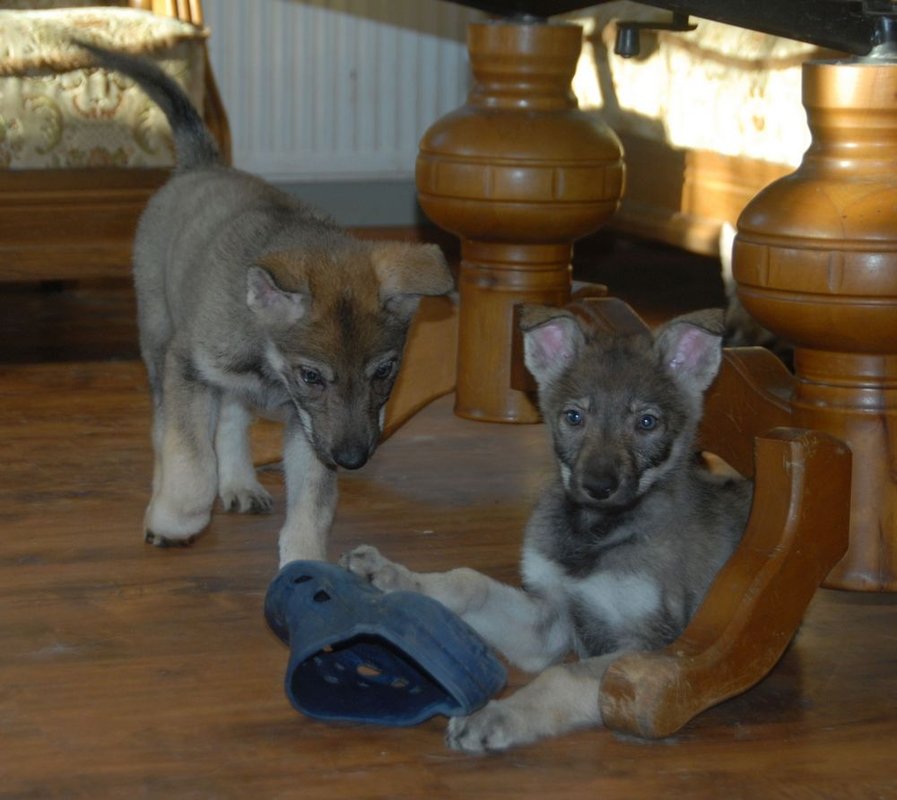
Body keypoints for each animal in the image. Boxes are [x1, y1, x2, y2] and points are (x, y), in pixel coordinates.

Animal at [78, 44, 453, 565]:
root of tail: (201, 165)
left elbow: (313, 500)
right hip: (156, 340)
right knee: (164, 429)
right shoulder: (189, 369)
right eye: (312, 375)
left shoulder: (309, 427)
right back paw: (165, 493)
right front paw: (175, 519)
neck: (269, 369)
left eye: (385, 371)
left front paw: (305, 562)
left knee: (232, 419)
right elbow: (191, 458)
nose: (353, 460)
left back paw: (239, 483)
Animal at [342, 302, 753, 752]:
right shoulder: (550, 620)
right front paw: (392, 575)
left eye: (647, 423)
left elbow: (560, 676)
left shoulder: (643, 647)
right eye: (574, 417)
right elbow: (469, 582)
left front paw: (496, 715)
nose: (598, 487)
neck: (594, 533)